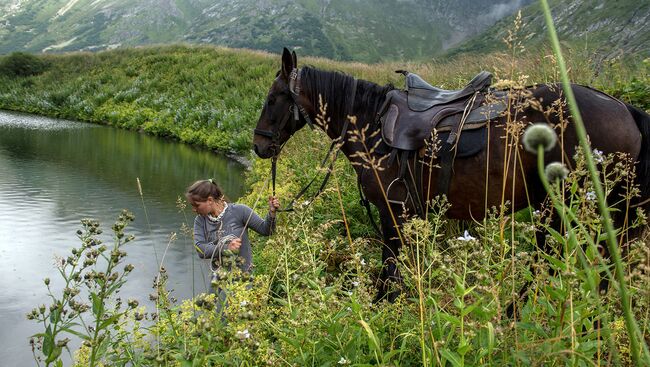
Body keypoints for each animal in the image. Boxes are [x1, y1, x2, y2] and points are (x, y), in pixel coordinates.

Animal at [253, 47, 648, 304]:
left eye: (273, 98)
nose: (259, 145)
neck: (370, 124)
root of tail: (624, 109)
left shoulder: (392, 210)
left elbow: (389, 266)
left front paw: (383, 310)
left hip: (563, 210)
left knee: (552, 265)